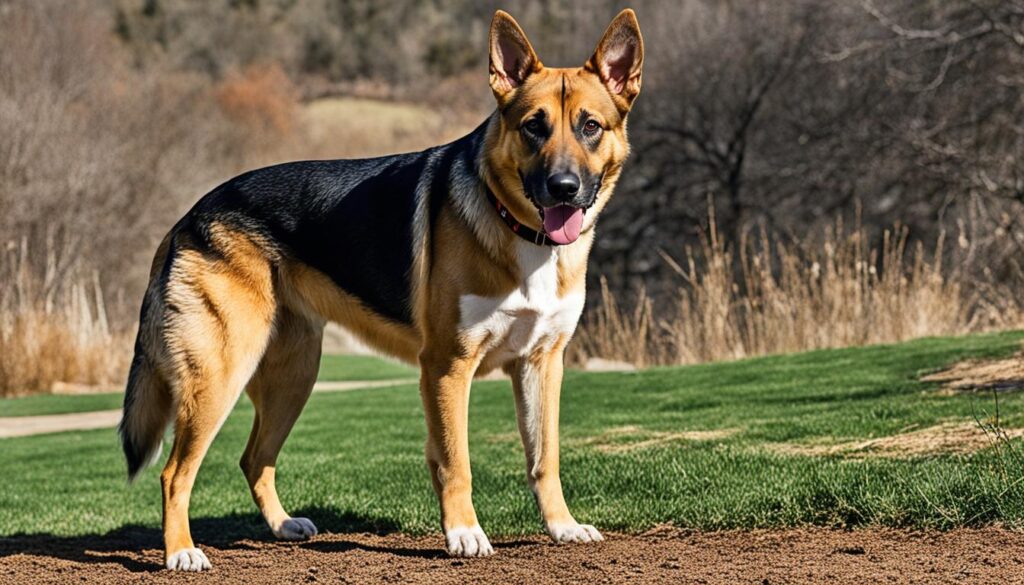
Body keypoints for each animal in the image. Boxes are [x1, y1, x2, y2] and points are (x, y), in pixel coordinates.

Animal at [119, 6, 638, 569]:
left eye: (591, 127)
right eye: (532, 128)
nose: (564, 188)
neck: (518, 229)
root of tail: (189, 217)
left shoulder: (541, 364)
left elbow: (545, 459)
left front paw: (561, 527)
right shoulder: (447, 367)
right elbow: (456, 464)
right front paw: (464, 534)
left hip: (293, 377)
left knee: (254, 458)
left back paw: (282, 526)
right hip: (220, 376)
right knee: (174, 474)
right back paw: (181, 552)